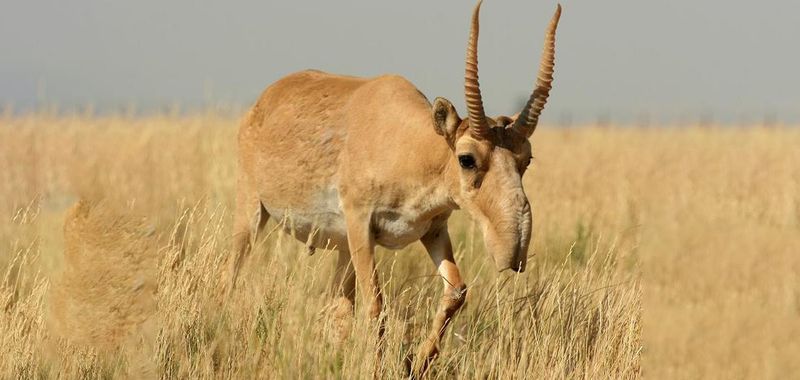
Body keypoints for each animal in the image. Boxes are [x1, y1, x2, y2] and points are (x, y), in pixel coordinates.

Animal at [225, 0, 564, 374]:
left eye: (526, 159)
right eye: (467, 158)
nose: (513, 250)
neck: (411, 145)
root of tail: (265, 100)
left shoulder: (433, 230)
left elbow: (456, 291)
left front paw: (416, 363)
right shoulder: (361, 226)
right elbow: (376, 304)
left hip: (342, 249)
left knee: (337, 308)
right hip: (252, 213)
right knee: (232, 273)